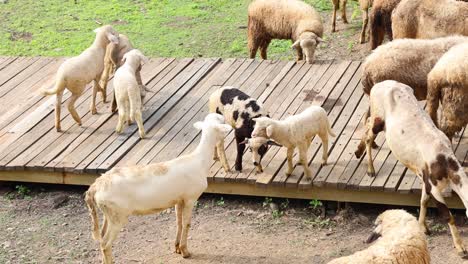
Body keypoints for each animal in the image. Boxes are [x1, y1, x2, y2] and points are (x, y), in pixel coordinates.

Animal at [85, 113, 231, 264]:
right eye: (222, 121)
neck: (200, 161)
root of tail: (95, 186)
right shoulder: (190, 198)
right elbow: (187, 224)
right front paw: (185, 252)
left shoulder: (179, 200)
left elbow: (179, 223)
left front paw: (177, 248)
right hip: (118, 215)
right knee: (105, 243)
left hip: (108, 213)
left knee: (101, 237)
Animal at [354, 81, 468, 258]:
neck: (444, 162)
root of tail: (380, 84)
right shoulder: (433, 186)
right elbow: (448, 215)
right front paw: (460, 247)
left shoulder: (425, 180)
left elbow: (423, 201)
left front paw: (423, 227)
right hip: (378, 119)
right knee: (368, 134)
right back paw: (371, 169)